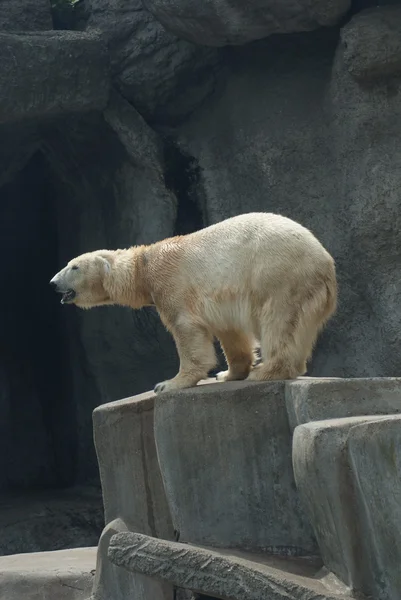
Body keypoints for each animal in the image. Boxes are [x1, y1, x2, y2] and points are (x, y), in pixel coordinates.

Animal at [50, 211, 338, 394]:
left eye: (73, 266)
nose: (52, 282)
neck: (144, 267)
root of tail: (325, 261)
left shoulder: (171, 284)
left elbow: (186, 330)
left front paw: (168, 383)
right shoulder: (220, 300)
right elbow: (230, 332)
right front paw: (228, 373)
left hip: (277, 274)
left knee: (278, 321)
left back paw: (267, 371)